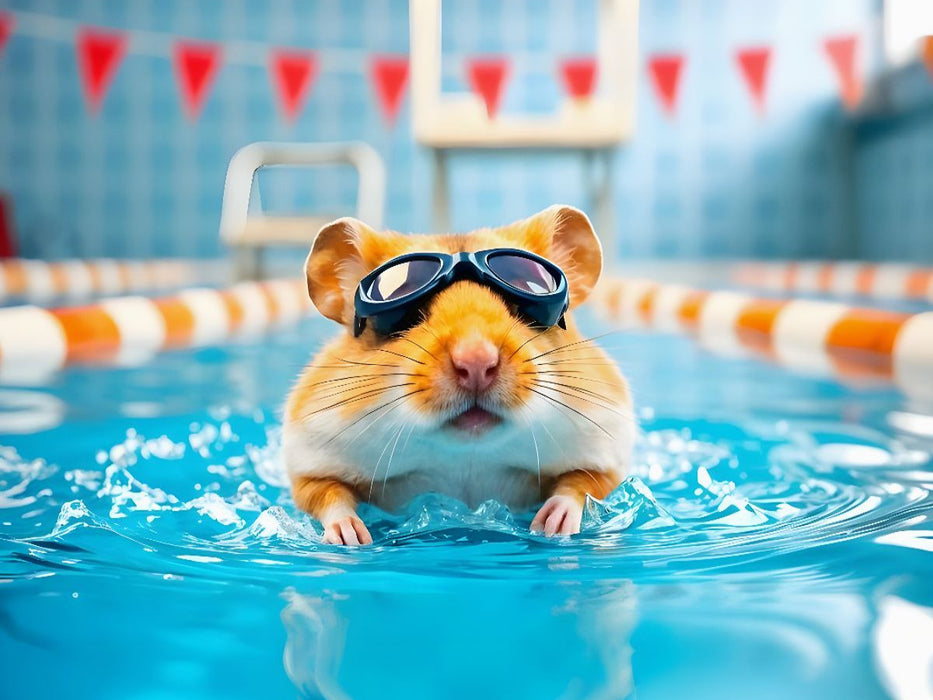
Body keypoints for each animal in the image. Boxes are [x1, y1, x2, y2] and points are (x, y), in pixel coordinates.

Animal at [283, 205, 634, 545]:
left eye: (518, 308)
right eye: (412, 315)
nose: (476, 362)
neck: (466, 456)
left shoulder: (606, 454)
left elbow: (582, 484)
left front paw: (551, 527)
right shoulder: (309, 463)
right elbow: (326, 494)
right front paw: (352, 539)